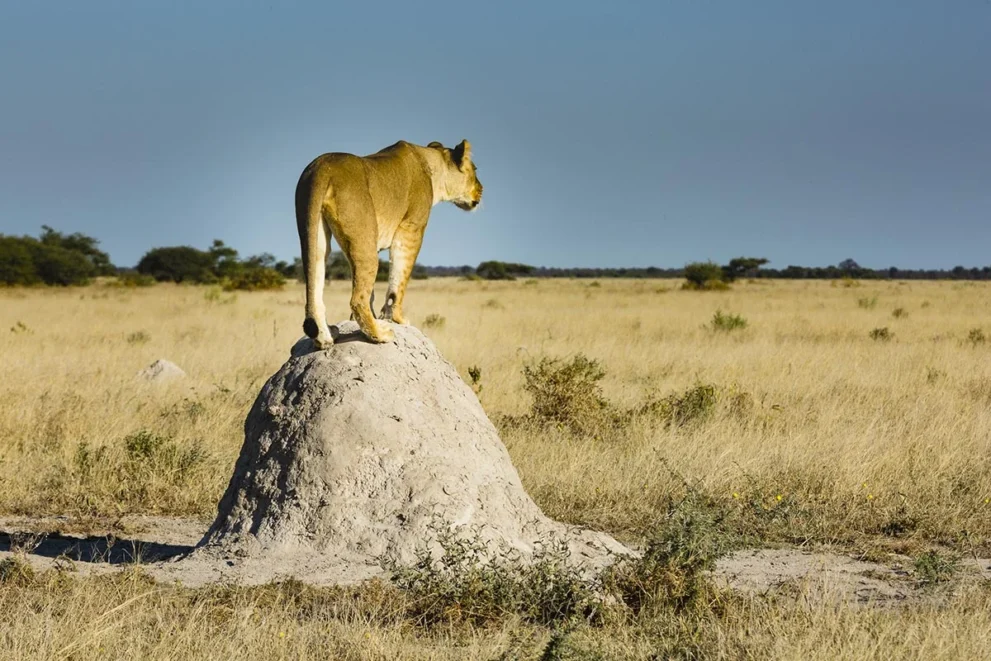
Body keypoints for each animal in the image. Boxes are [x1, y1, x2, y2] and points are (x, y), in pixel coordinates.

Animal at [292, 139, 482, 346]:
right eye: (475, 169)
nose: (482, 189)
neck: (432, 164)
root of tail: (322, 166)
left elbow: (373, 292)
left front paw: (371, 317)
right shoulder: (411, 229)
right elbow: (399, 279)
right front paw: (397, 318)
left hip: (313, 231)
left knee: (315, 285)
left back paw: (326, 336)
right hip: (364, 238)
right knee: (357, 299)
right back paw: (380, 334)